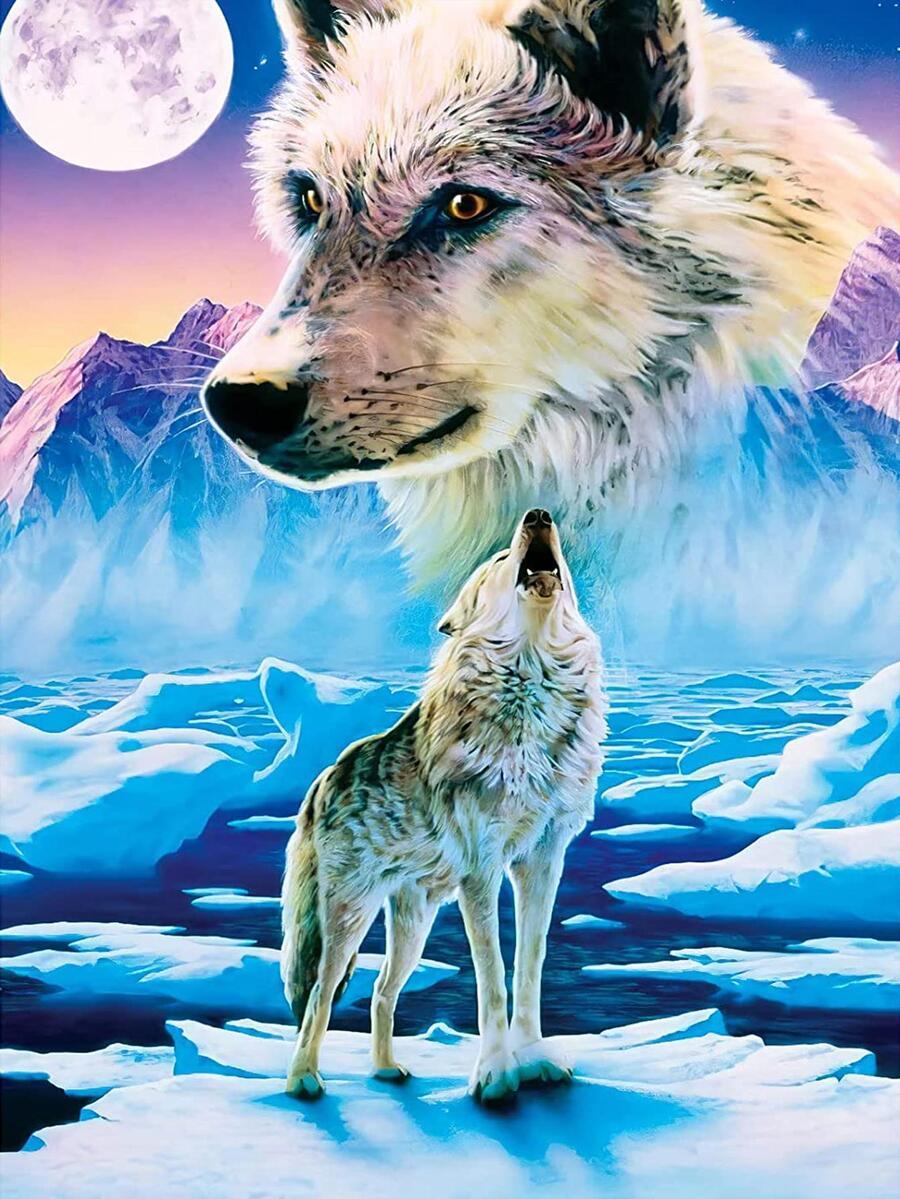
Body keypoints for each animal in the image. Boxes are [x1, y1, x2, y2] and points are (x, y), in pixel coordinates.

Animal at [280, 508, 606, 1102]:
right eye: (500, 559)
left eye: (561, 562)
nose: (538, 514)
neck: (531, 686)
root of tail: (323, 779)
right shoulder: (482, 870)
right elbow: (492, 979)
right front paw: (498, 1073)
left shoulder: (543, 862)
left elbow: (530, 966)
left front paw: (534, 1058)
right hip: (348, 917)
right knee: (319, 994)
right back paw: (303, 1079)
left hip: (415, 922)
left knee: (382, 990)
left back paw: (386, 1069)